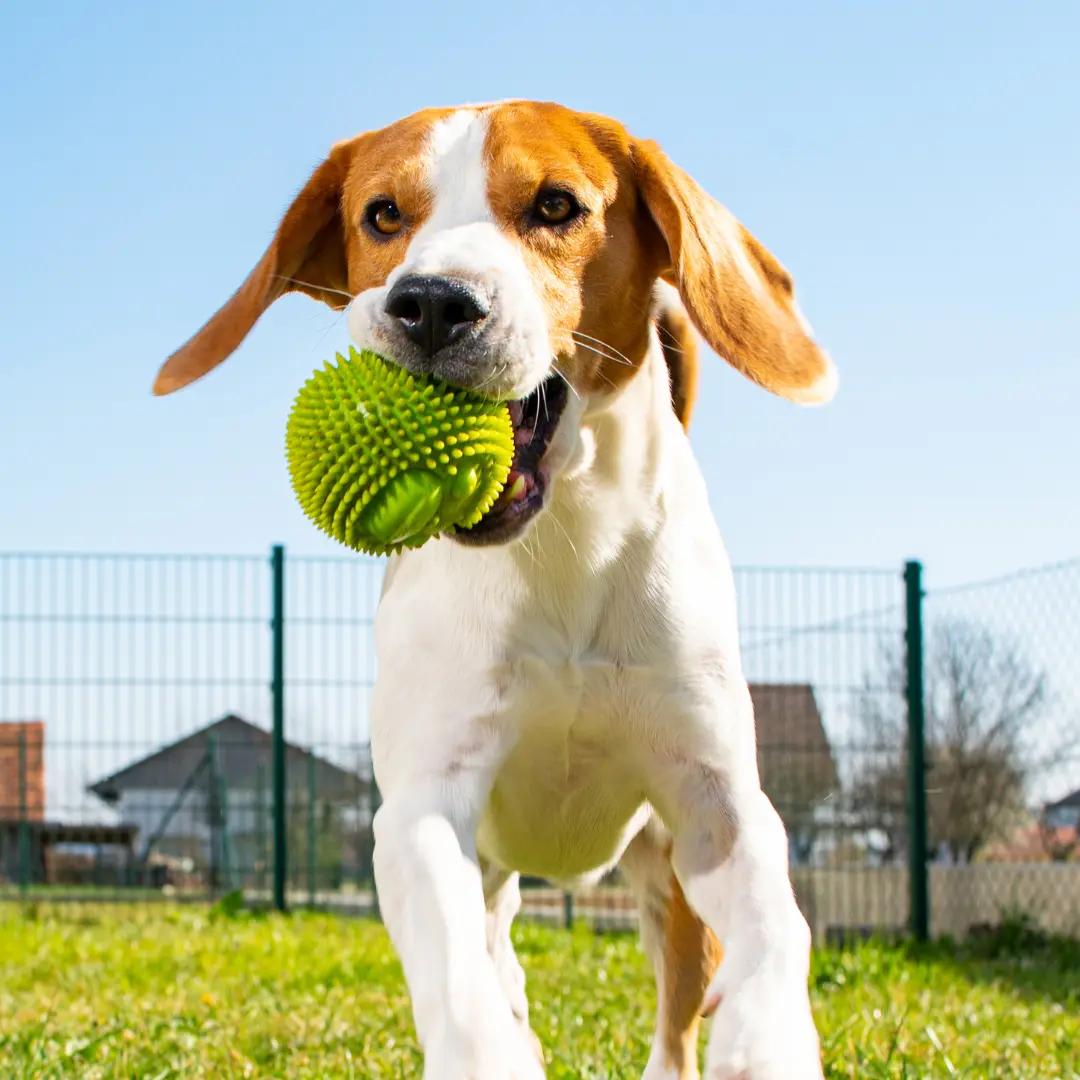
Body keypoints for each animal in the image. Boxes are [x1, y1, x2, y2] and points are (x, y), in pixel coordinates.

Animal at [156, 99, 833, 1080]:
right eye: (383, 216)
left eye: (556, 206)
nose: (434, 302)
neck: (563, 555)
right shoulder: (424, 809)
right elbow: (457, 971)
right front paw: (491, 1046)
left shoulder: (718, 802)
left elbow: (778, 927)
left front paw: (768, 1038)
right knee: (492, 940)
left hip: (662, 872)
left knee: (674, 1004)